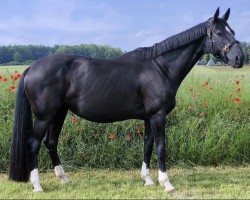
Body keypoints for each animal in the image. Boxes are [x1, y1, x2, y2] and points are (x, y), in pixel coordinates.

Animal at [9, 7, 244, 192]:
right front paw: (166, 183)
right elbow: (161, 147)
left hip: (59, 113)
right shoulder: (158, 116)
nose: (239, 58)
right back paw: (37, 185)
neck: (160, 68)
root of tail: (31, 68)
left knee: (51, 142)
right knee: (33, 143)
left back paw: (64, 178)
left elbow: (148, 146)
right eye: (219, 32)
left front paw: (148, 180)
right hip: (44, 116)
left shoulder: (149, 118)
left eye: (232, 31)